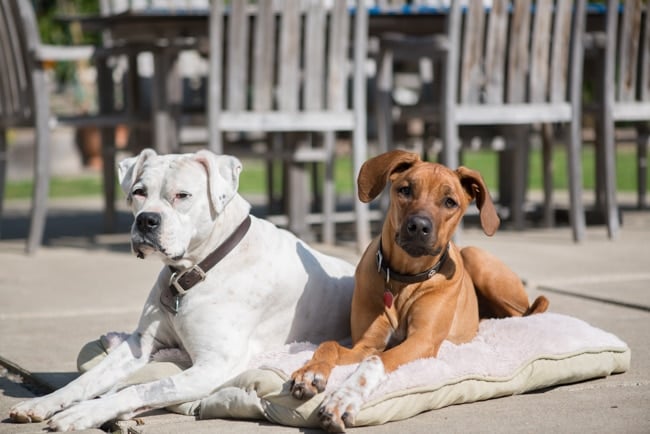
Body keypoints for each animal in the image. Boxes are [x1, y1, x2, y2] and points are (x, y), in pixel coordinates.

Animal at [8, 149, 354, 430]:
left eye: (182, 195)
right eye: (139, 192)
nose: (146, 220)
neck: (196, 271)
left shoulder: (214, 365)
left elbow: (141, 388)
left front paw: (85, 413)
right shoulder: (140, 344)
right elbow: (87, 379)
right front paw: (43, 402)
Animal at [288, 149, 548, 430]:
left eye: (449, 202)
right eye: (405, 190)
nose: (419, 226)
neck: (404, 278)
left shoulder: (422, 340)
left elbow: (375, 361)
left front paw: (344, 399)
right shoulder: (367, 343)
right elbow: (331, 344)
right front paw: (311, 371)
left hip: (478, 261)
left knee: (522, 313)